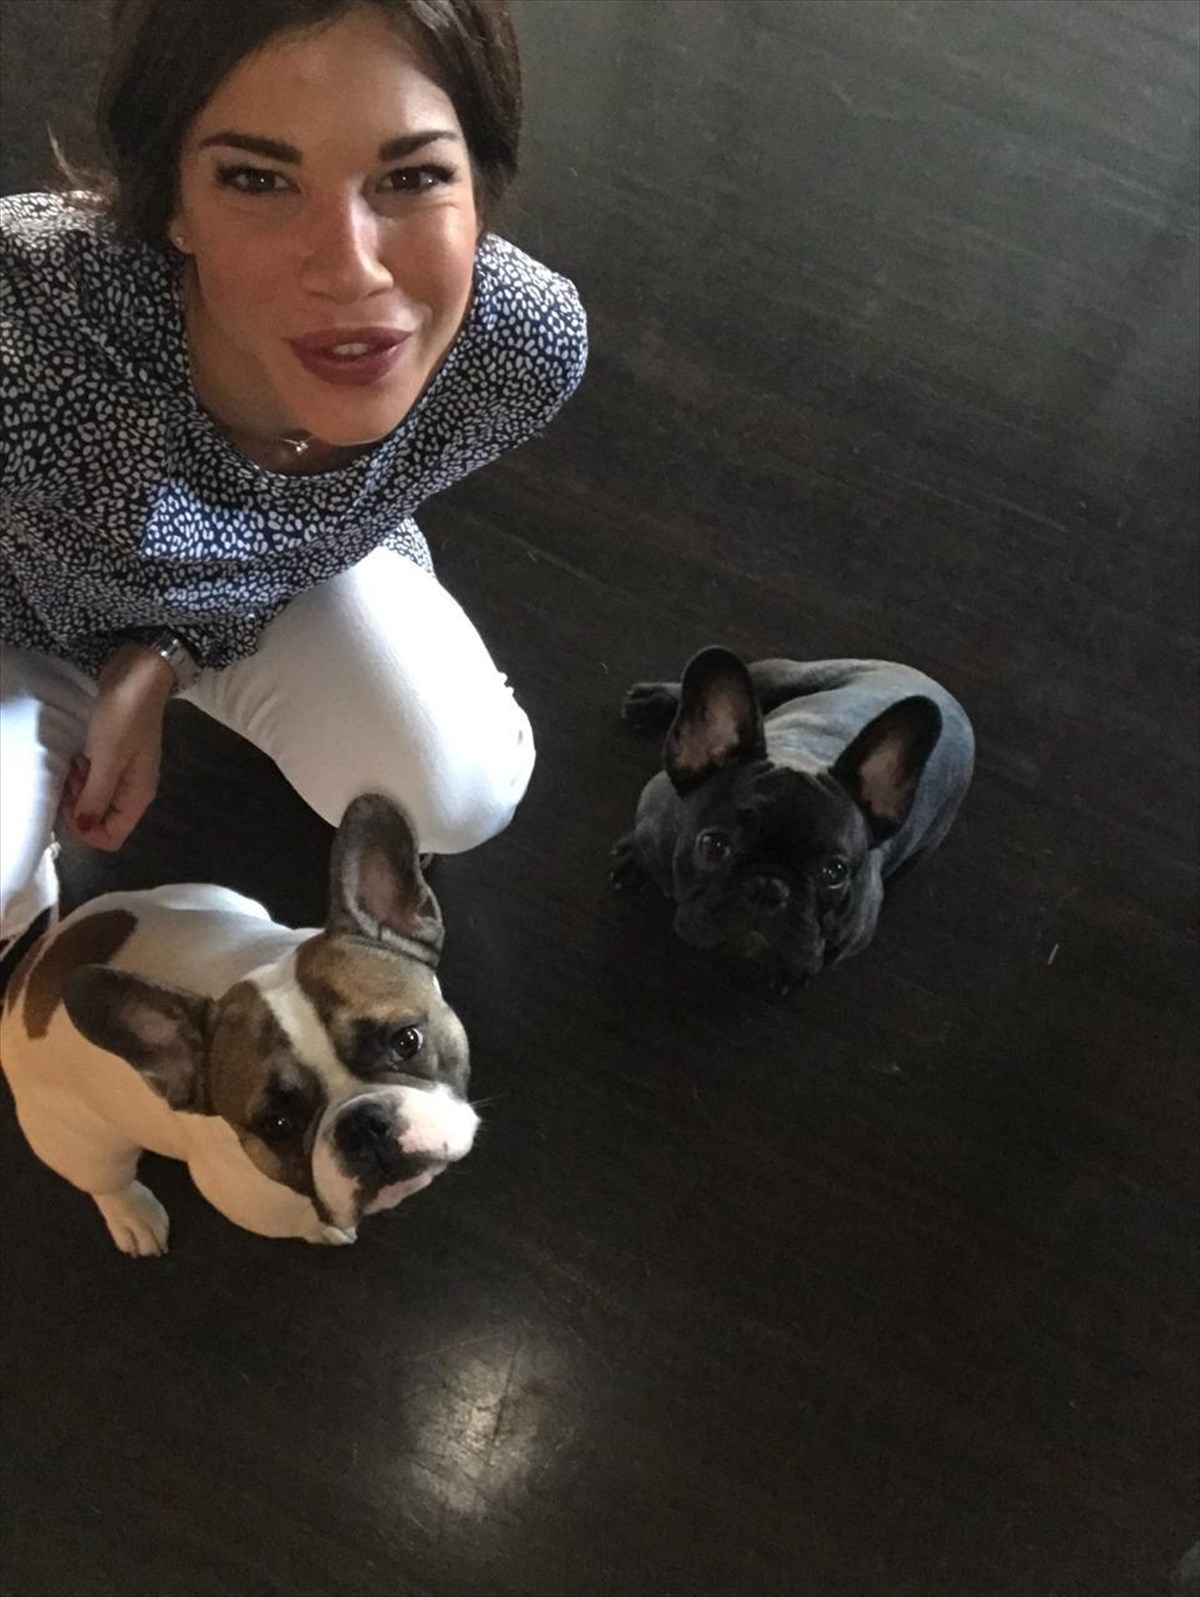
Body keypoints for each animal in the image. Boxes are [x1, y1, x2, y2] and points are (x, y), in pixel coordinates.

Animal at [0, 794, 477, 1254]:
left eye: (407, 1040)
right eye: (277, 1126)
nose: (362, 1124)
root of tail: (31, 967)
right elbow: (302, 1221)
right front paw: (324, 1229)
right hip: (81, 1142)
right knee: (106, 1180)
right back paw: (132, 1215)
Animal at [611, 648, 975, 991]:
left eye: (834, 873)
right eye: (714, 844)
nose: (769, 887)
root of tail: (941, 691)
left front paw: (790, 971)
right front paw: (634, 858)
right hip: (784, 675)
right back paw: (654, 699)